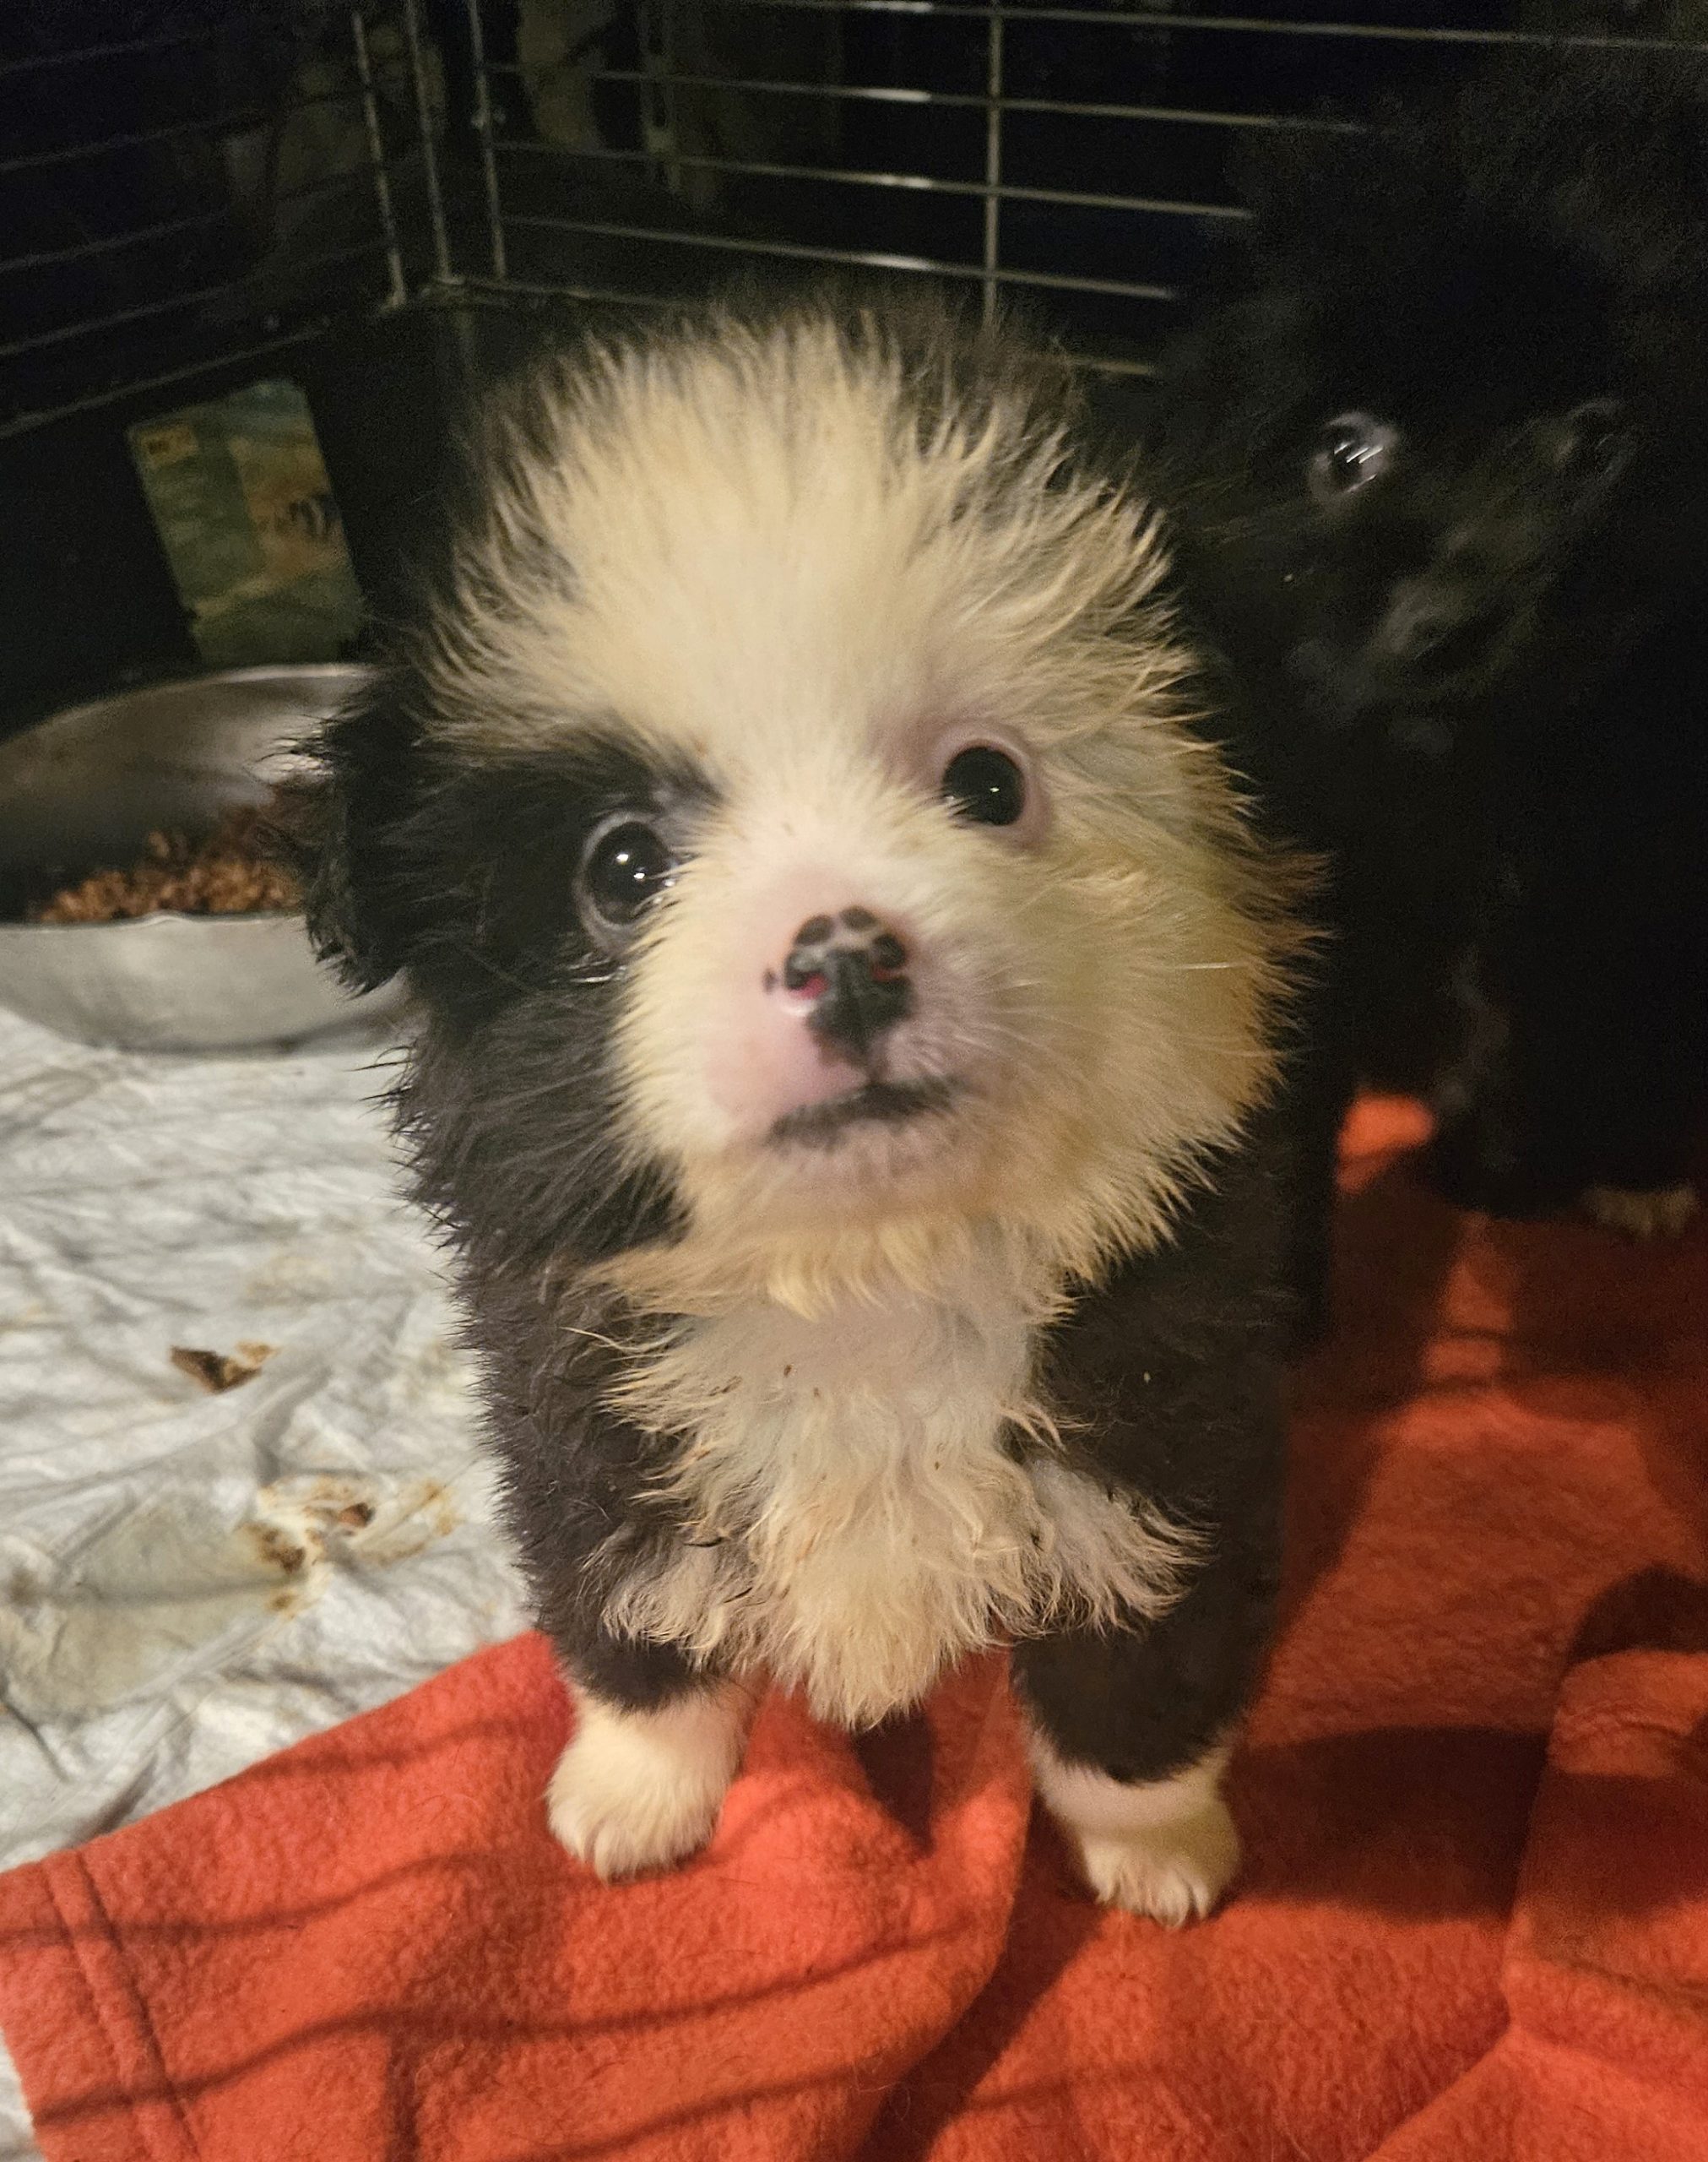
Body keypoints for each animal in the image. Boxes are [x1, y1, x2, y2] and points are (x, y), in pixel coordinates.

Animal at [295, 293, 1307, 1923]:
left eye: (986, 783)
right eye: (621, 868)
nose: (842, 952)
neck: (863, 1287)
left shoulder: (1164, 1443)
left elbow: (1133, 1679)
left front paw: (1154, 1850)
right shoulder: (585, 1432)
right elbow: (634, 1624)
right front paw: (632, 1794)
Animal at [1149, 47, 1708, 1326]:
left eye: (1593, 440)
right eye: (1344, 452)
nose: (1445, 624)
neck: (1467, 783)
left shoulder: (1634, 883)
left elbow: (1590, 1032)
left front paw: (1542, 1174)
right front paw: (1282, 1298)